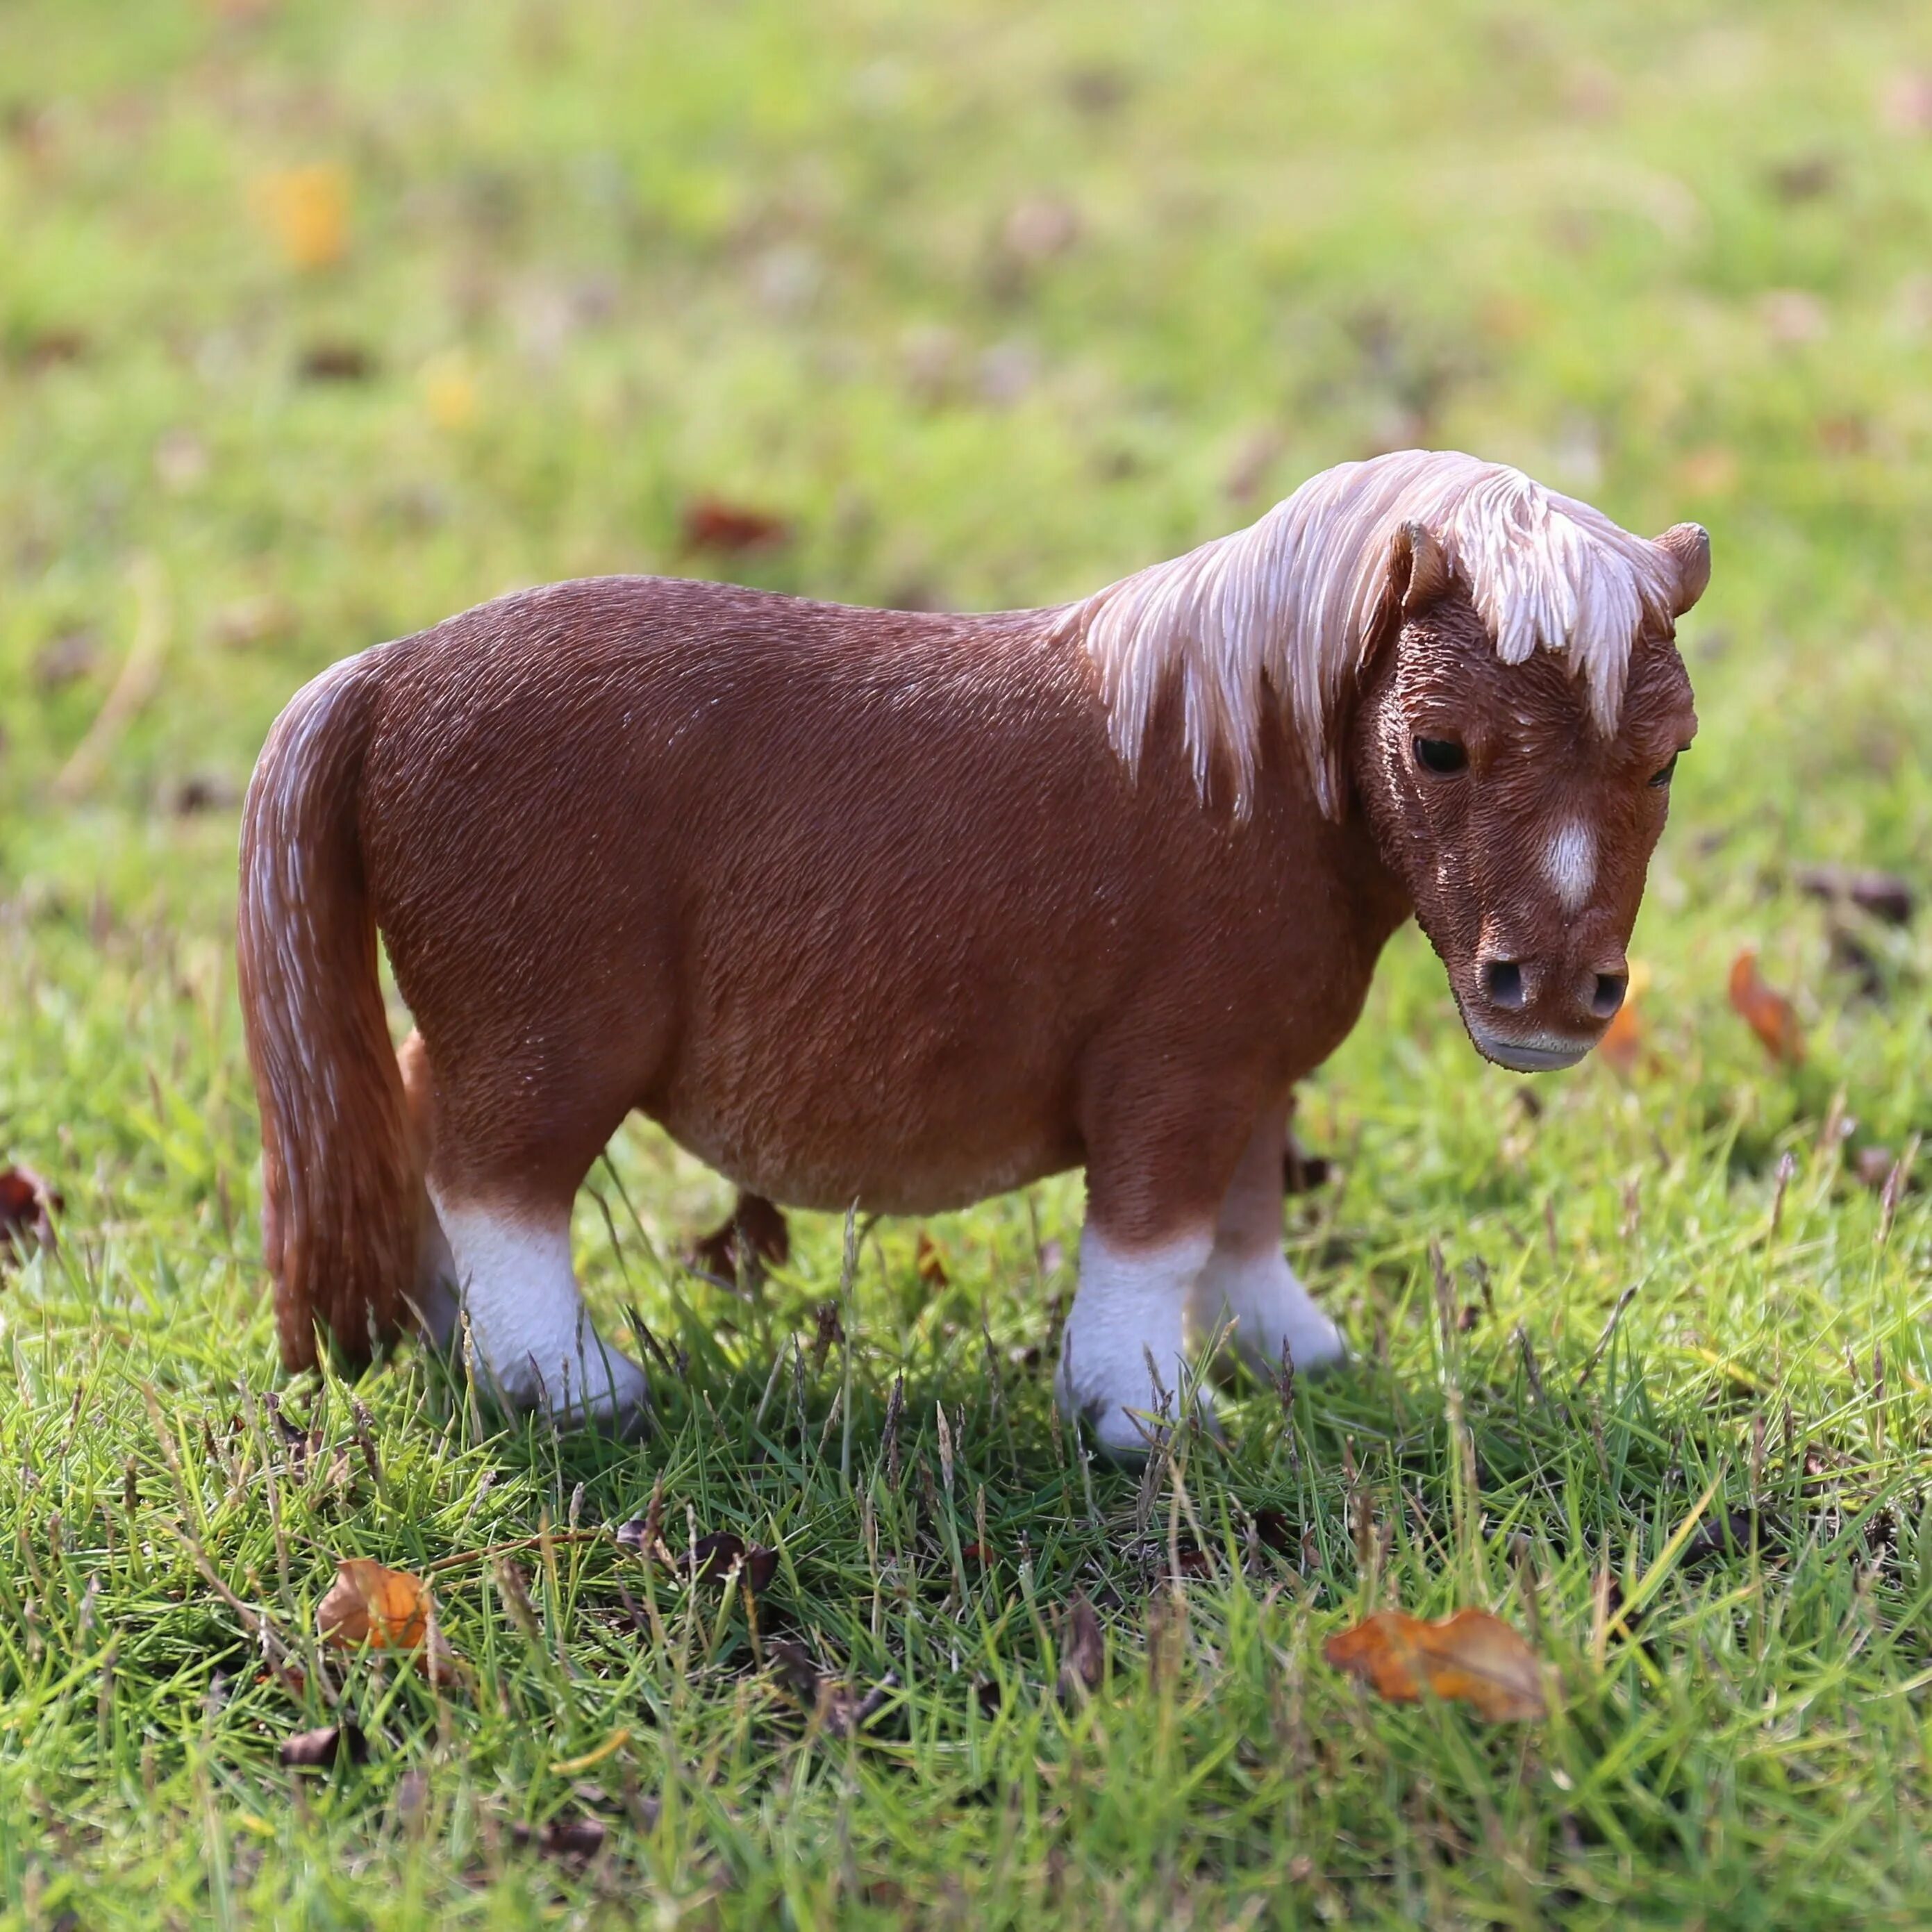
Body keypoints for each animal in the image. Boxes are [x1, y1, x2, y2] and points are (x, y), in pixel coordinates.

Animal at [238, 448, 1708, 1453]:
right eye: (1437, 746)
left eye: (1666, 759)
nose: (1554, 995)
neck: (1239, 763)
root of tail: (391, 670)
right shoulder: (1172, 1078)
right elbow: (1152, 1240)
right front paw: (1142, 1417)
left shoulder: (1251, 1075)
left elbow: (1244, 1219)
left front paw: (1290, 1353)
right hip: (550, 1047)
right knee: (495, 1179)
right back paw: (567, 1383)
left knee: (418, 1118)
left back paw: (444, 1330)